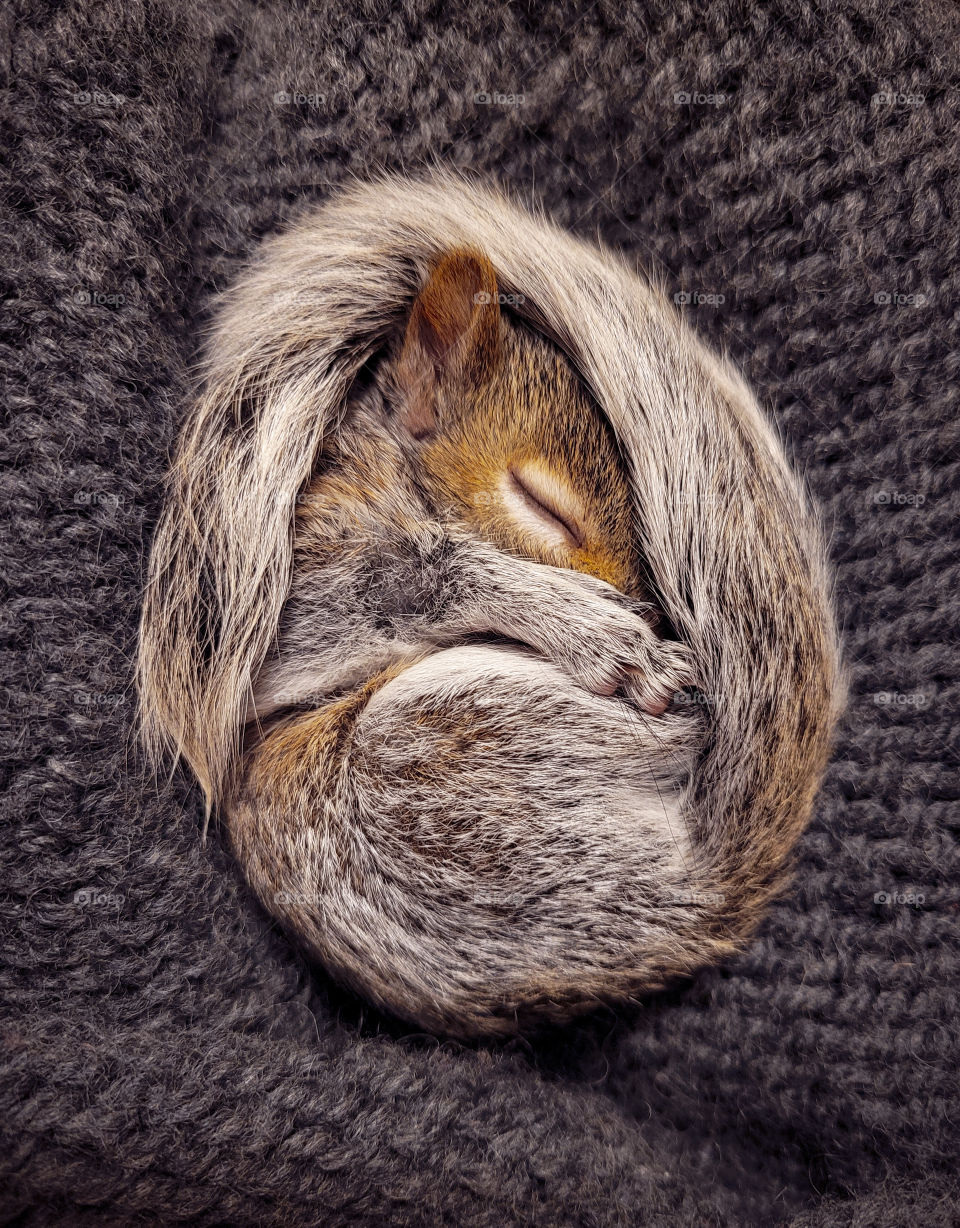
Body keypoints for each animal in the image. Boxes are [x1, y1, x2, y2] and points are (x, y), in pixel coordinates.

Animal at [135, 170, 844, 1036]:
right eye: (543, 508)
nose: (647, 612)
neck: (383, 476)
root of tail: (694, 891)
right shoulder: (259, 582)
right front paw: (585, 624)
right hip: (438, 740)